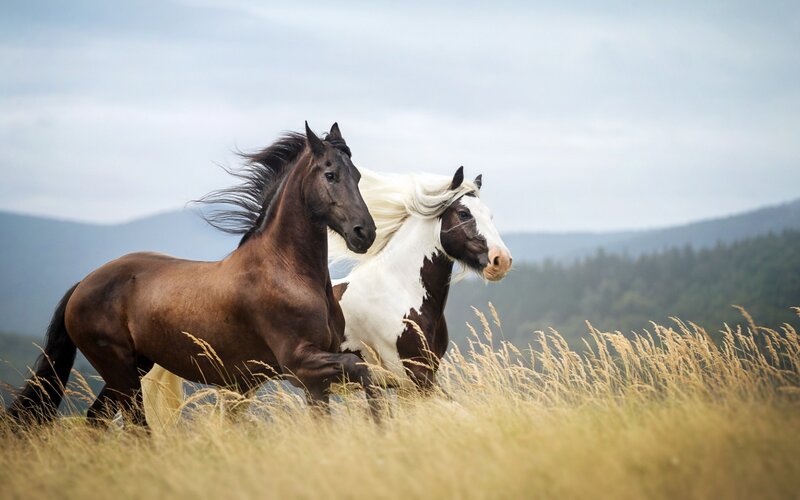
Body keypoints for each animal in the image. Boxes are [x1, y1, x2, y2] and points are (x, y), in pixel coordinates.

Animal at [6, 122, 381, 427]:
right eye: (330, 175)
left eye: (358, 176)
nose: (364, 233)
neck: (288, 272)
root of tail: (82, 284)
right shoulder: (300, 364)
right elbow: (364, 370)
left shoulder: (316, 379)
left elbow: (359, 387)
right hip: (120, 371)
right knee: (135, 426)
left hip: (132, 369)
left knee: (96, 420)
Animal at [142, 165, 511, 425]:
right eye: (463, 214)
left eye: (491, 215)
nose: (501, 261)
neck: (399, 290)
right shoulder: (412, 378)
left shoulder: (416, 382)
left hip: (241, 385)